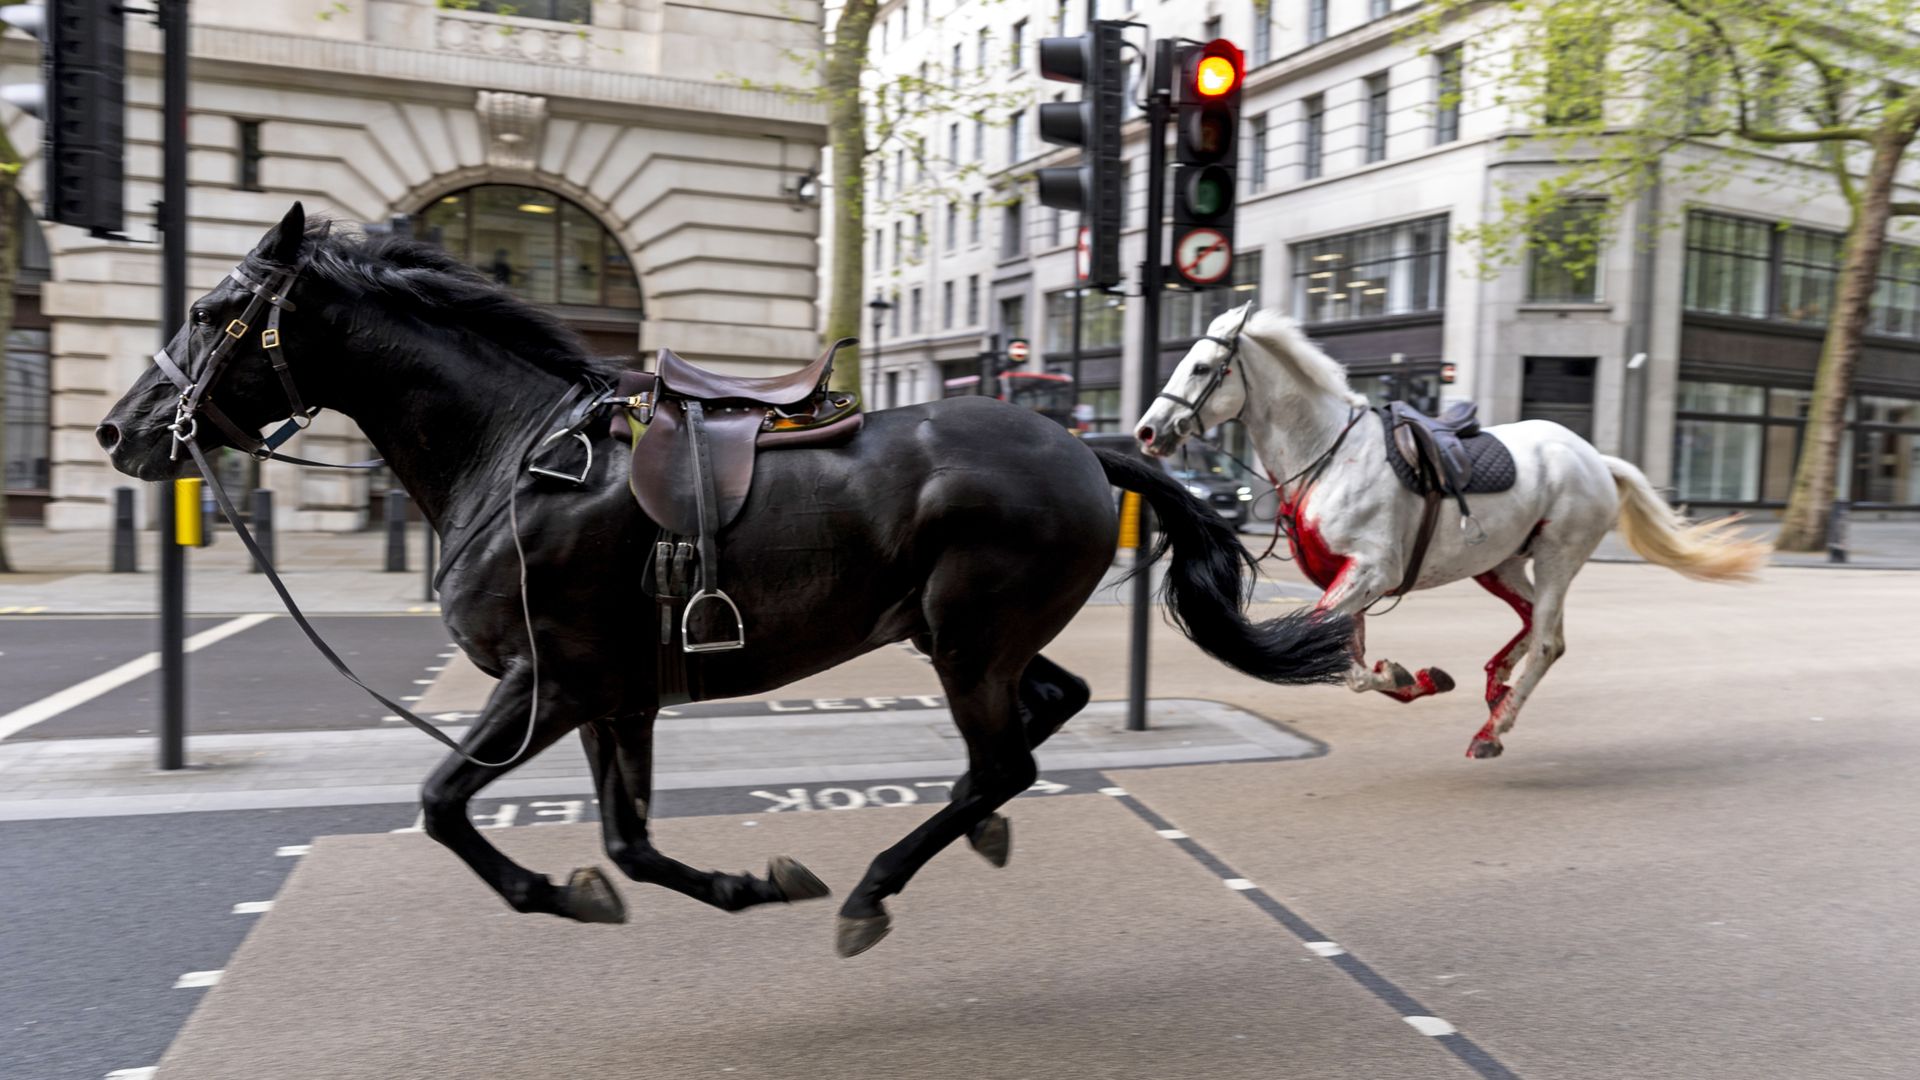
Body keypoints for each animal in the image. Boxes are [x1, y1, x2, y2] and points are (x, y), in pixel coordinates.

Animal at [93, 205, 1351, 953]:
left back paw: (877, 886)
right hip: (963, 634)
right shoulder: (616, 696)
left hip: (964, 637)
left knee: (1004, 756)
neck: (515, 453)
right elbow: (628, 843)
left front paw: (558, 893)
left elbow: (446, 801)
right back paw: (970, 832)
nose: (119, 430)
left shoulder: (549, 682)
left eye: (211, 311)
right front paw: (738, 885)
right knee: (1046, 716)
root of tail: (1084, 446)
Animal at [1128, 303, 1758, 757]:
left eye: (1202, 367)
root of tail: (1594, 458)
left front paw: (1406, 675)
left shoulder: (1370, 570)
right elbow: (1347, 660)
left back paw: (1492, 729)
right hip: (1500, 563)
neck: (1328, 455)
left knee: (1548, 640)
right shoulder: (1350, 580)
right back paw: (1496, 687)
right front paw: (1413, 677)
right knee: (1534, 623)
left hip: (1558, 554)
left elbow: (1339, 657)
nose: (1147, 432)